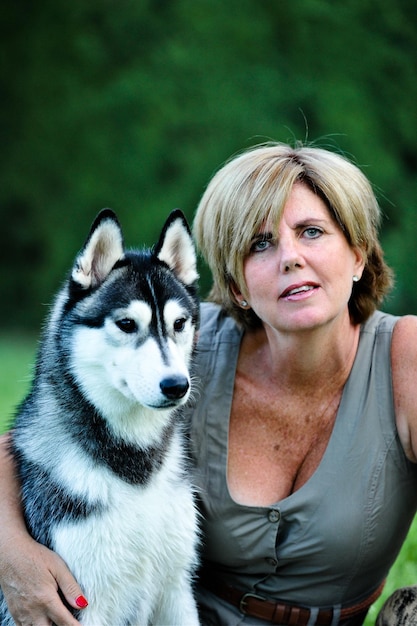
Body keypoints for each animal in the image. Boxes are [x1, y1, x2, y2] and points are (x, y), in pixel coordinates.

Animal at [0, 210, 200, 624]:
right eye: (126, 324)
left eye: (179, 324)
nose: (177, 385)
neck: (135, 467)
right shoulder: (85, 601)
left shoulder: (177, 590)